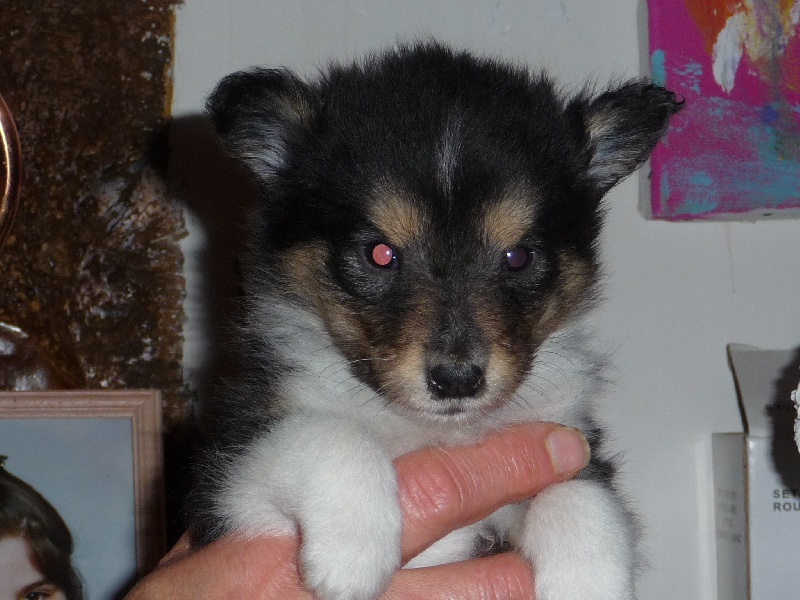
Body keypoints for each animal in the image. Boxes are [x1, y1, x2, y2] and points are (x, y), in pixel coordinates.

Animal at [191, 43, 684, 600]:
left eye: (519, 257)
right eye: (380, 253)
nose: (457, 380)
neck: (434, 432)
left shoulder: (572, 438)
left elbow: (581, 495)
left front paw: (588, 583)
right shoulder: (229, 479)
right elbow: (330, 434)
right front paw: (351, 557)